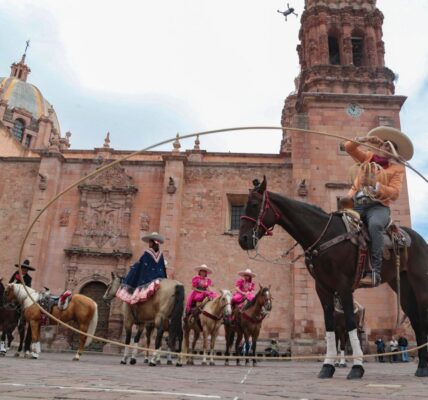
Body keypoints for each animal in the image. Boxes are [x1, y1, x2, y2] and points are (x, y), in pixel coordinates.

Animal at [237, 177, 428, 378]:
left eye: (254, 204)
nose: (243, 239)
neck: (325, 235)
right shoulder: (323, 288)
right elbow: (329, 325)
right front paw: (328, 366)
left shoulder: (344, 286)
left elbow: (351, 324)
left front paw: (357, 367)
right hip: (403, 288)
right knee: (416, 321)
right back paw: (421, 366)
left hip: (420, 285)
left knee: (422, 319)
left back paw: (423, 367)